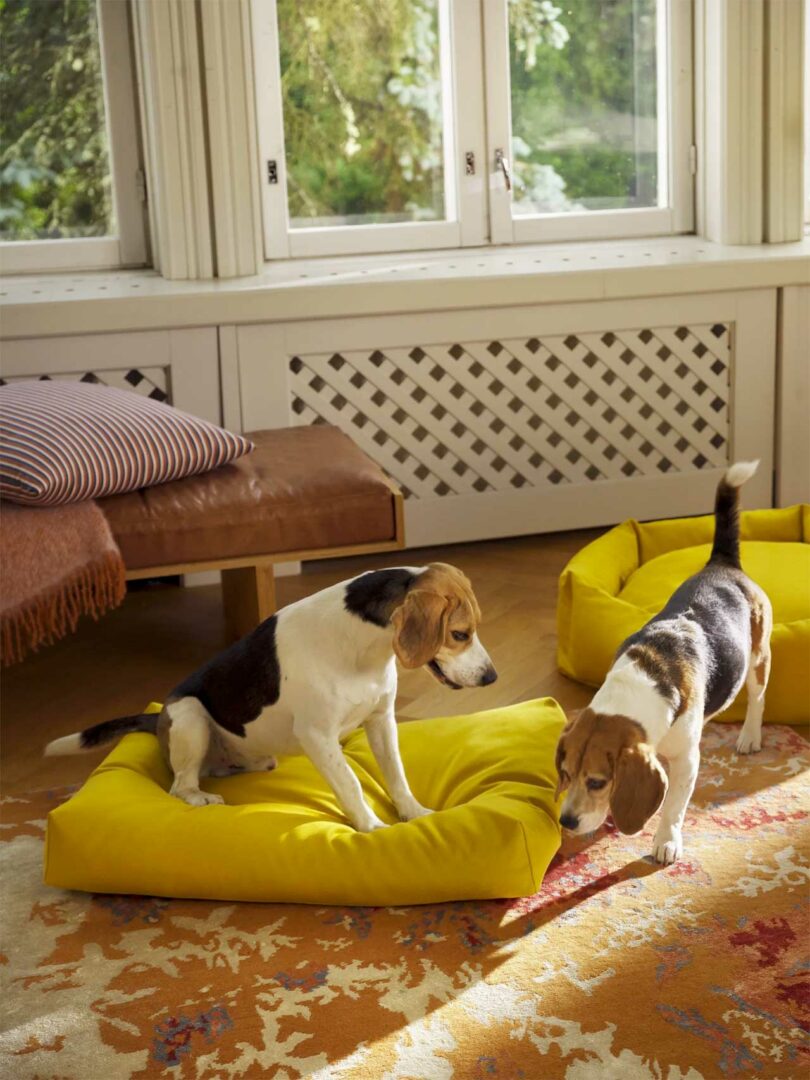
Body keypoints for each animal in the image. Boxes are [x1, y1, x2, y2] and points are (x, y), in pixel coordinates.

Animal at [50, 561, 498, 829]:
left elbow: (397, 775)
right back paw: (200, 797)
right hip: (190, 715)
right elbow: (351, 782)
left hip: (253, 753)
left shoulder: (381, 720)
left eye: (472, 629)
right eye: (460, 634)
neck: (362, 647)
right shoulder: (317, 735)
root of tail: (158, 717)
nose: (491, 677)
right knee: (180, 785)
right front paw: (371, 827)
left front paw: (413, 813)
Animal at [557, 460, 773, 864]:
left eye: (596, 781)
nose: (566, 821)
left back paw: (750, 736)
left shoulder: (687, 759)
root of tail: (723, 565)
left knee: (757, 698)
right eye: (564, 772)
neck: (640, 685)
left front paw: (666, 841)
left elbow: (673, 805)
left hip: (758, 658)